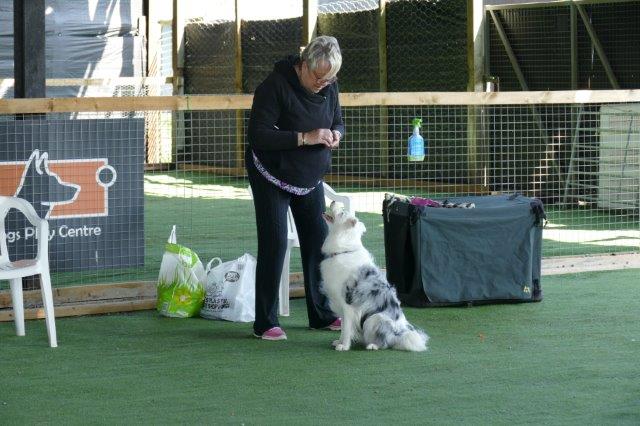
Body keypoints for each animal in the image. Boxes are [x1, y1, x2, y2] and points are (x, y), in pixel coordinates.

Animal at [320, 201, 429, 352]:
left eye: (341, 213)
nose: (333, 202)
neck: (344, 250)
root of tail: (398, 335)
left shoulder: (348, 303)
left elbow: (346, 327)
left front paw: (344, 346)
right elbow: (343, 327)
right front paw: (339, 342)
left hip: (374, 318)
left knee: (385, 341)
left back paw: (373, 345)